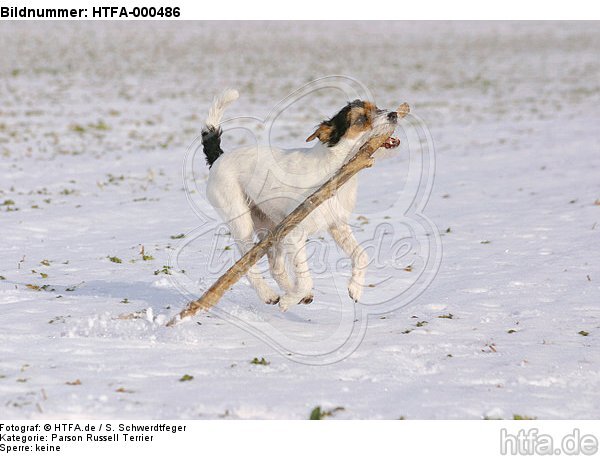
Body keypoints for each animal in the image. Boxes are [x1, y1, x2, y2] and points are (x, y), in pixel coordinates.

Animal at [199, 88, 400, 310]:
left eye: (376, 108)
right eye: (361, 119)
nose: (394, 114)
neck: (333, 168)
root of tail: (219, 157)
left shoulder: (337, 225)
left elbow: (361, 255)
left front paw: (355, 288)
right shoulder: (295, 235)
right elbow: (305, 278)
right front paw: (290, 300)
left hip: (272, 227)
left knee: (275, 267)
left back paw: (290, 293)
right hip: (241, 221)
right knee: (247, 262)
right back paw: (270, 294)